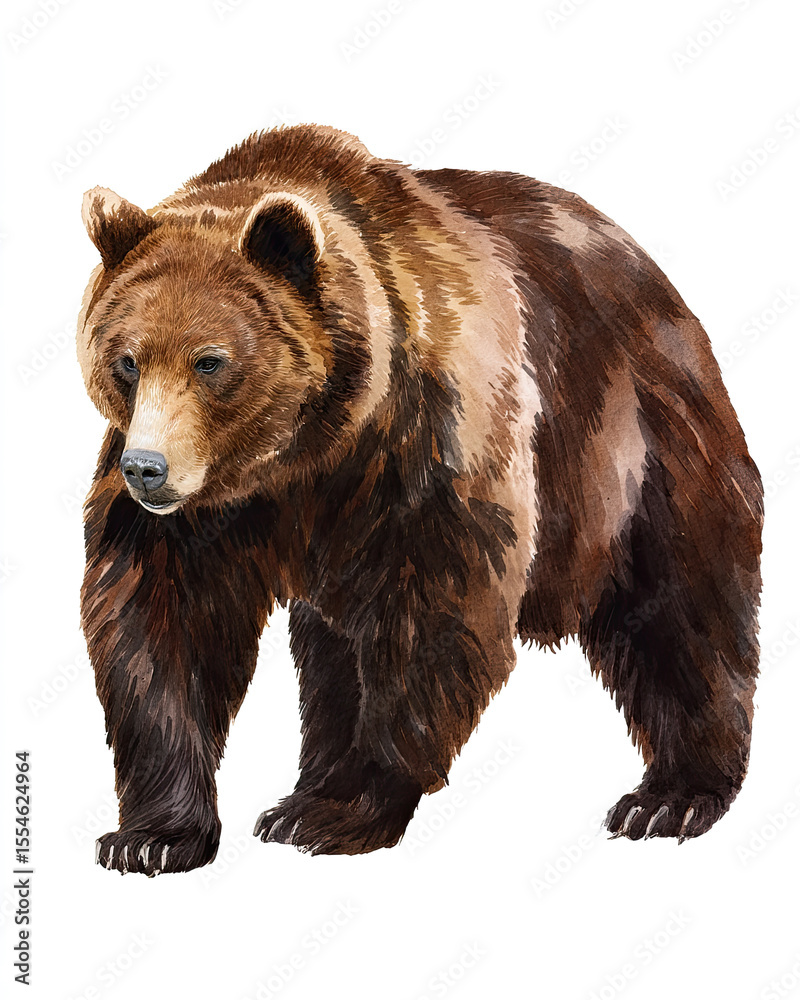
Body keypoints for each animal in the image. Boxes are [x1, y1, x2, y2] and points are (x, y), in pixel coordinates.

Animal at [77, 124, 763, 875]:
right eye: (127, 360)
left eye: (210, 361)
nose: (148, 469)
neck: (307, 448)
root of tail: (651, 271)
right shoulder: (207, 514)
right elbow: (163, 623)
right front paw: (153, 835)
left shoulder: (425, 438)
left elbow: (434, 603)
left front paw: (346, 809)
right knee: (331, 653)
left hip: (641, 441)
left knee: (679, 605)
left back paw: (671, 797)